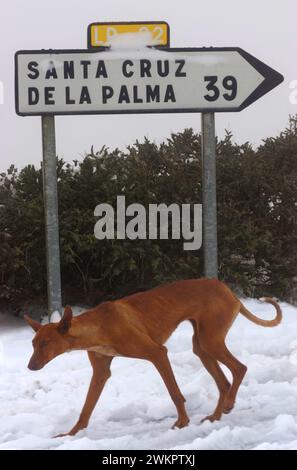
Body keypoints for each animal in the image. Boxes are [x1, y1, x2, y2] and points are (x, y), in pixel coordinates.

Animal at [24, 280, 280, 436]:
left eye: (46, 343)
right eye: (33, 344)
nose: (30, 367)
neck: (99, 326)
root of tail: (228, 290)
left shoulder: (157, 353)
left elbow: (175, 393)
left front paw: (182, 422)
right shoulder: (101, 372)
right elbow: (86, 408)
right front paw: (71, 433)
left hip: (211, 341)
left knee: (240, 369)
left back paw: (227, 405)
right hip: (202, 347)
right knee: (224, 381)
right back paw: (216, 415)